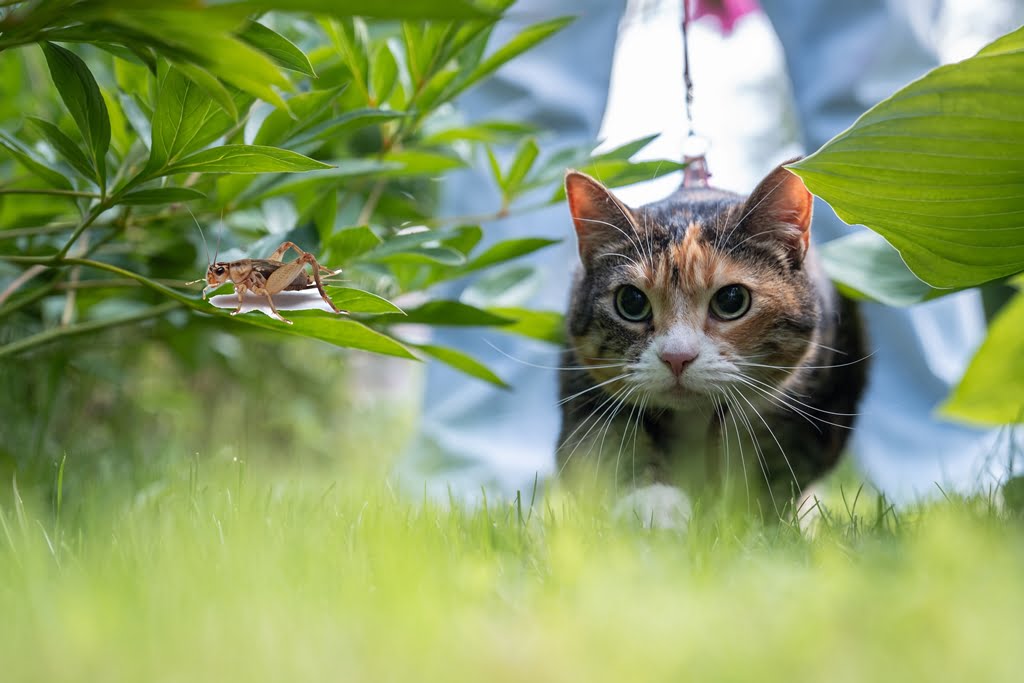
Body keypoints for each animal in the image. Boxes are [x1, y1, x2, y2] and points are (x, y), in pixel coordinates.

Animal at [557, 161, 868, 528]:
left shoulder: (815, 405)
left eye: (731, 300)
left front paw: (750, 517)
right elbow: (608, 446)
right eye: (631, 302)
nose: (677, 357)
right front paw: (655, 508)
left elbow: (776, 468)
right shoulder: (585, 390)